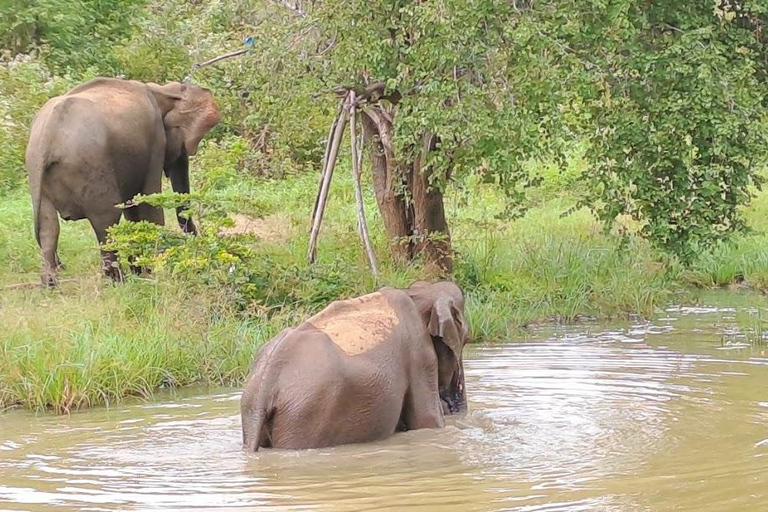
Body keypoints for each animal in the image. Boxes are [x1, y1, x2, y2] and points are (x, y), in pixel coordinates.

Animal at [24, 76, 220, 286]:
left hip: (37, 171)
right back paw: (118, 281)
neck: (162, 90)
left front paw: (140, 270)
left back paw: (50, 285)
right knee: (106, 221)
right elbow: (149, 204)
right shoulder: (155, 140)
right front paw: (150, 271)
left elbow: (133, 206)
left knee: (49, 227)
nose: (198, 249)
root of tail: (48, 135)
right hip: (92, 165)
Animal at [242, 280, 468, 452]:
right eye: (465, 341)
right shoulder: (420, 353)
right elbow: (427, 421)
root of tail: (265, 385)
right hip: (305, 416)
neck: (419, 292)